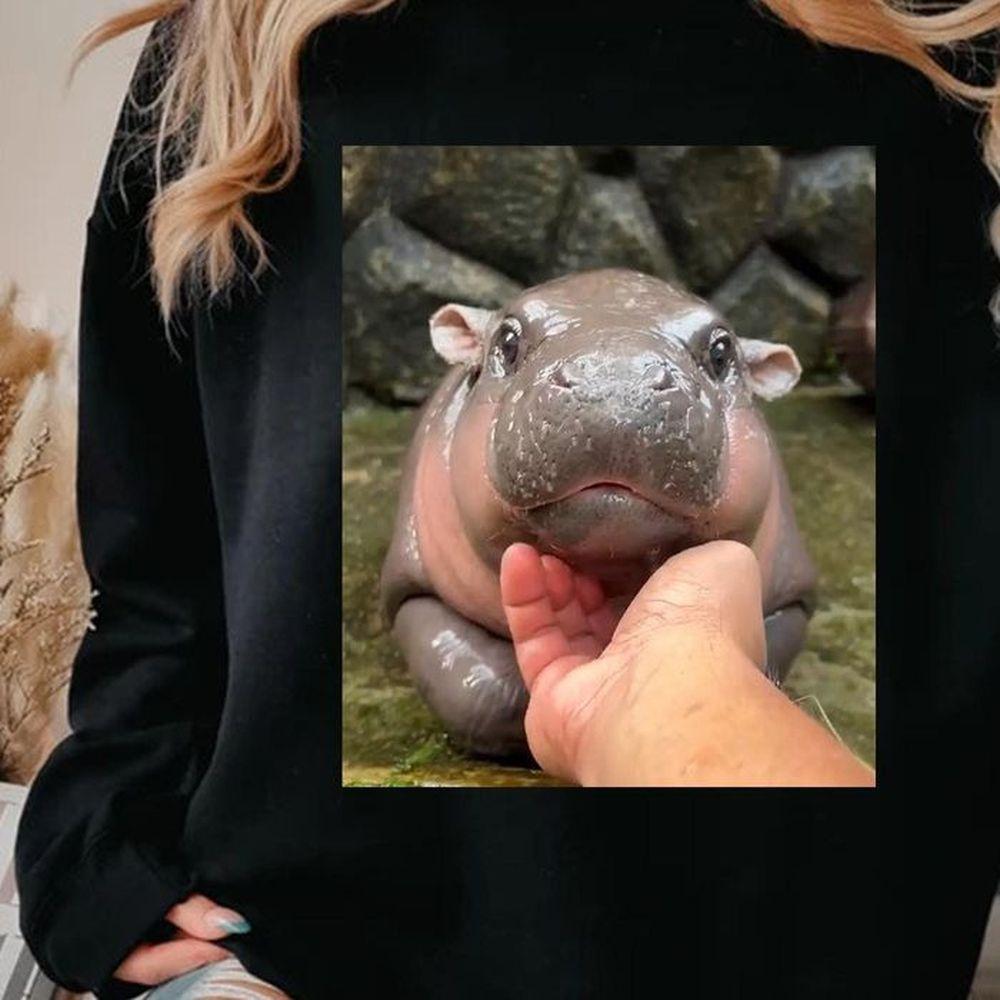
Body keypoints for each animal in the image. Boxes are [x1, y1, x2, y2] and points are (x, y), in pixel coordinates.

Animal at [381, 269, 816, 758]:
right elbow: (477, 690)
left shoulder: (793, 598)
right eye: (507, 341)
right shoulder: (411, 588)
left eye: (722, 352)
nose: (616, 380)